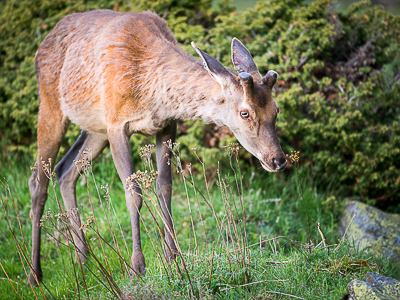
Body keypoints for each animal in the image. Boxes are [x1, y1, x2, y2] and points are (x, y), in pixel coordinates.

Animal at [28, 9, 286, 286]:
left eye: (276, 109)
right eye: (245, 112)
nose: (278, 160)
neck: (151, 92)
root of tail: (42, 44)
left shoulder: (167, 125)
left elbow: (165, 187)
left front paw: (173, 258)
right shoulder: (117, 124)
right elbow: (134, 193)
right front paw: (136, 267)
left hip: (95, 128)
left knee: (65, 170)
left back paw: (84, 261)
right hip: (51, 105)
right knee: (38, 182)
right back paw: (34, 274)